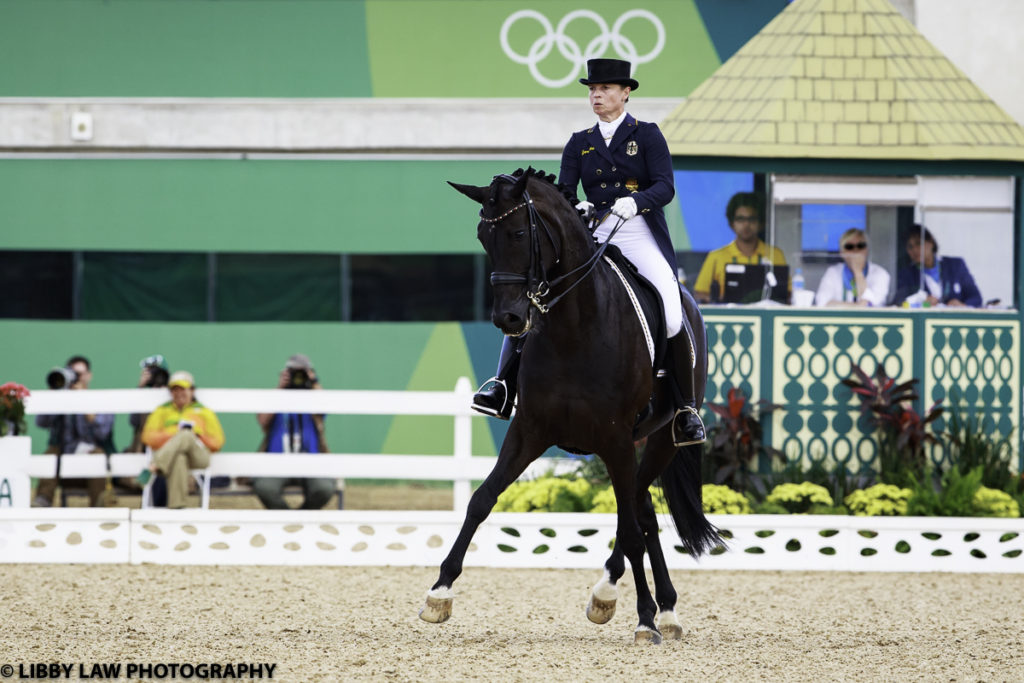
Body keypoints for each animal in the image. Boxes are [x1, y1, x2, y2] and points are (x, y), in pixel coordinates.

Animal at [419, 167, 724, 643]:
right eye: (483, 237)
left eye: (519, 232)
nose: (509, 319)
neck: (574, 327)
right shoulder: (529, 430)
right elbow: (481, 500)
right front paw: (439, 593)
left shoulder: (616, 440)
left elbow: (628, 529)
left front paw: (635, 614)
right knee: (643, 511)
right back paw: (657, 606)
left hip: (660, 440)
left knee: (636, 513)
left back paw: (645, 606)